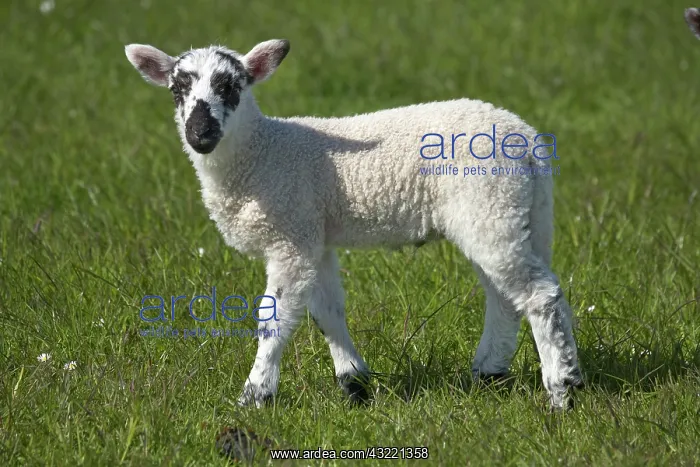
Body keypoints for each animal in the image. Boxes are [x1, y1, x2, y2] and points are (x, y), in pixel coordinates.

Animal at [124, 39, 583, 410]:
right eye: (177, 90)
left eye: (231, 87)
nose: (199, 132)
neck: (261, 153)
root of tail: (528, 141)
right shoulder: (314, 236)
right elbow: (328, 313)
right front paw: (354, 385)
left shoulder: (290, 236)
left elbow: (274, 321)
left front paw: (254, 397)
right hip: (517, 214)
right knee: (506, 295)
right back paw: (490, 373)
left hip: (490, 207)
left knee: (539, 294)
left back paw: (563, 390)